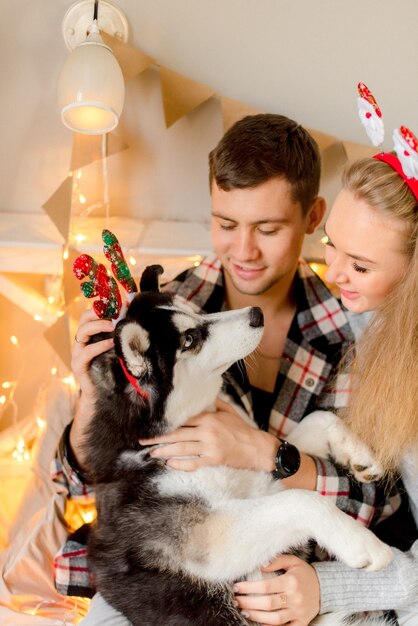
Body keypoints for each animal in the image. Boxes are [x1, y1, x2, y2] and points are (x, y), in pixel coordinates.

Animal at [83, 264, 394, 624]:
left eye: (195, 310)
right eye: (190, 339)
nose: (256, 313)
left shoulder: (264, 480)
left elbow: (316, 421)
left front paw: (361, 456)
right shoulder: (213, 541)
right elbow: (302, 501)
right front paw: (363, 543)